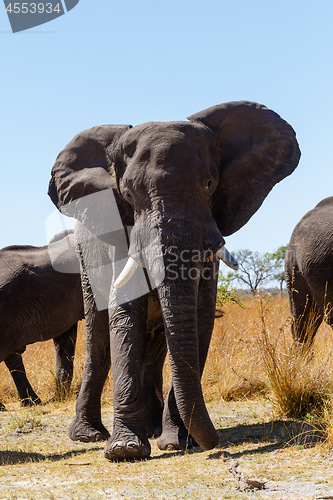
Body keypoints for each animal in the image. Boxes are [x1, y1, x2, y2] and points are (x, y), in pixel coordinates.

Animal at [48, 99, 300, 458]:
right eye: (128, 194)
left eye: (209, 184)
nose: (214, 444)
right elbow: (124, 315)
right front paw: (125, 450)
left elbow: (199, 317)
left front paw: (177, 442)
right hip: (86, 254)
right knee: (98, 338)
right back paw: (88, 436)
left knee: (155, 345)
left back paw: (154, 429)